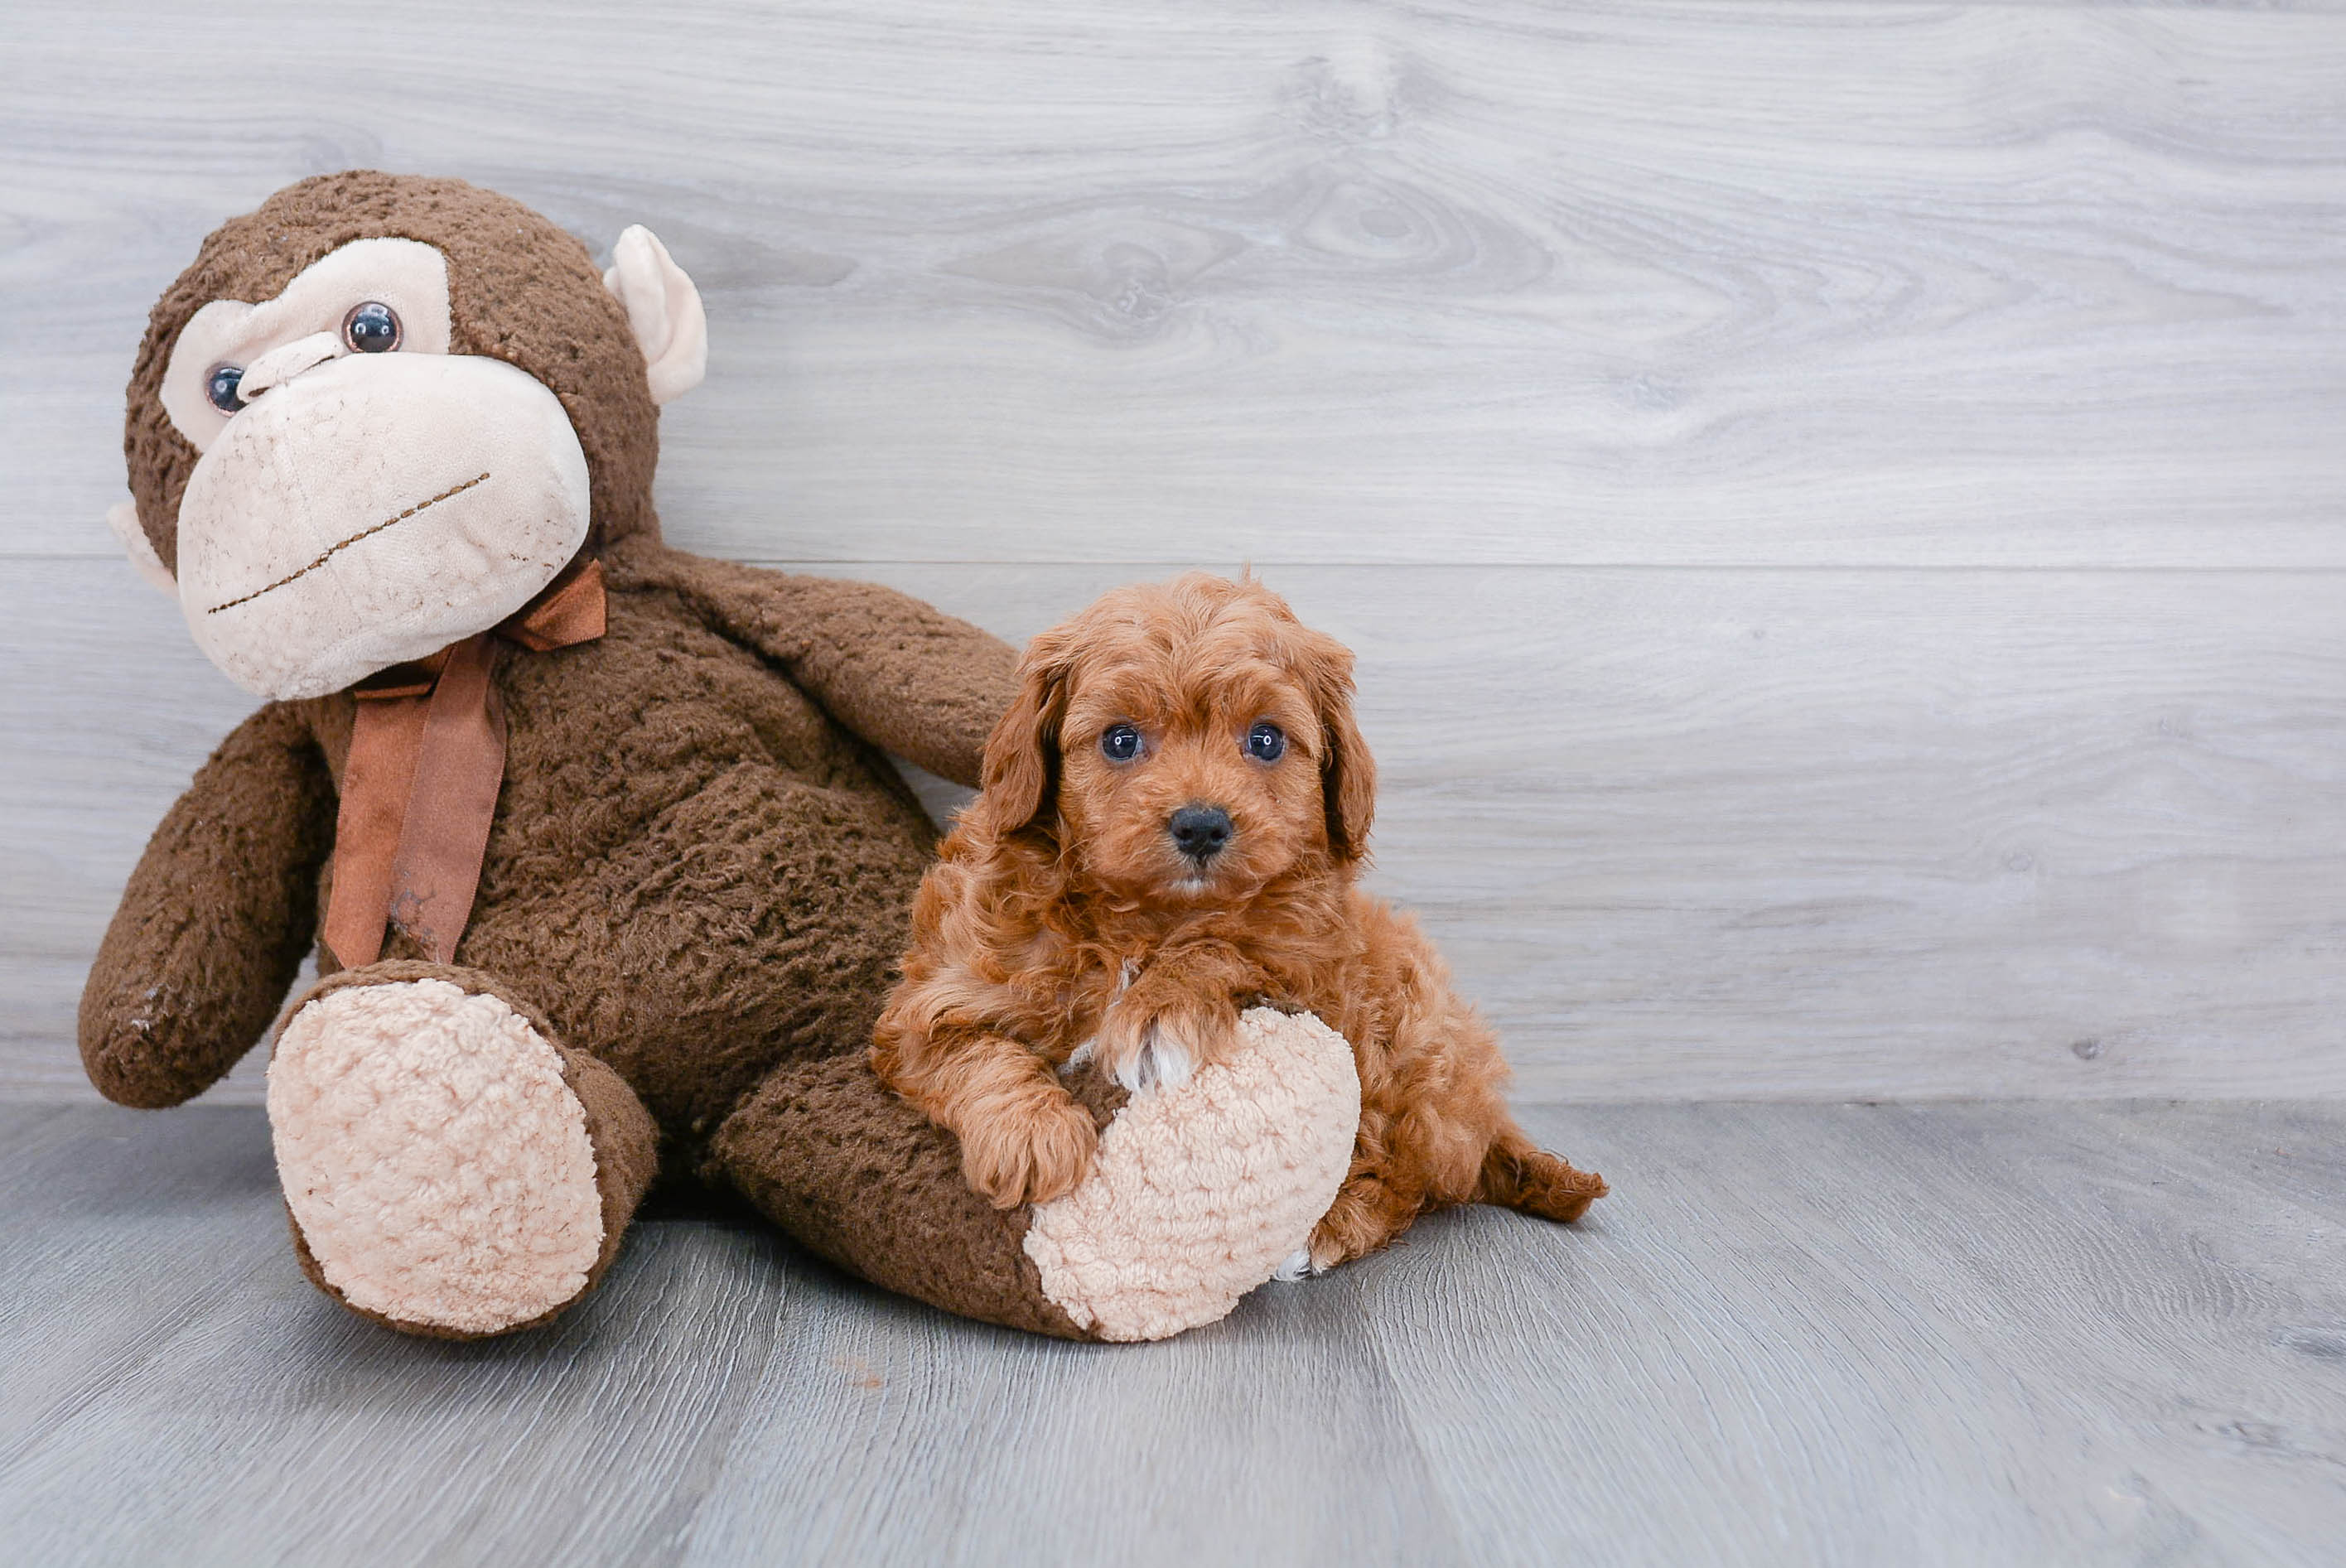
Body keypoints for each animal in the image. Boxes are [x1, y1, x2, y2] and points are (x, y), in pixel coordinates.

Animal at [872, 570, 1605, 1267]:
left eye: (1265, 739)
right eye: (1120, 739)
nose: (1201, 824)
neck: (1149, 917)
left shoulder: (1314, 963)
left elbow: (1226, 944)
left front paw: (1160, 1011)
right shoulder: (938, 996)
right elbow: (971, 1050)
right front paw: (1031, 1137)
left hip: (1412, 1042)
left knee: (1412, 1174)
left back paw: (1332, 1227)